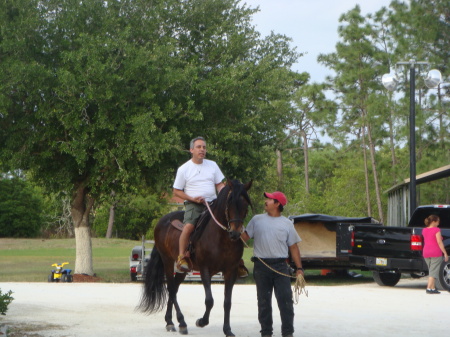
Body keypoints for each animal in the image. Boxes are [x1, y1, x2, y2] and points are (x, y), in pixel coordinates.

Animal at [139, 177, 251, 334]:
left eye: (245, 204)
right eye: (230, 203)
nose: (235, 233)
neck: (221, 237)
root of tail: (162, 221)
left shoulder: (231, 270)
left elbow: (227, 302)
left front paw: (227, 330)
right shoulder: (205, 269)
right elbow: (209, 300)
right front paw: (202, 321)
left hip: (183, 269)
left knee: (175, 289)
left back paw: (170, 321)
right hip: (168, 261)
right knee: (171, 289)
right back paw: (181, 322)